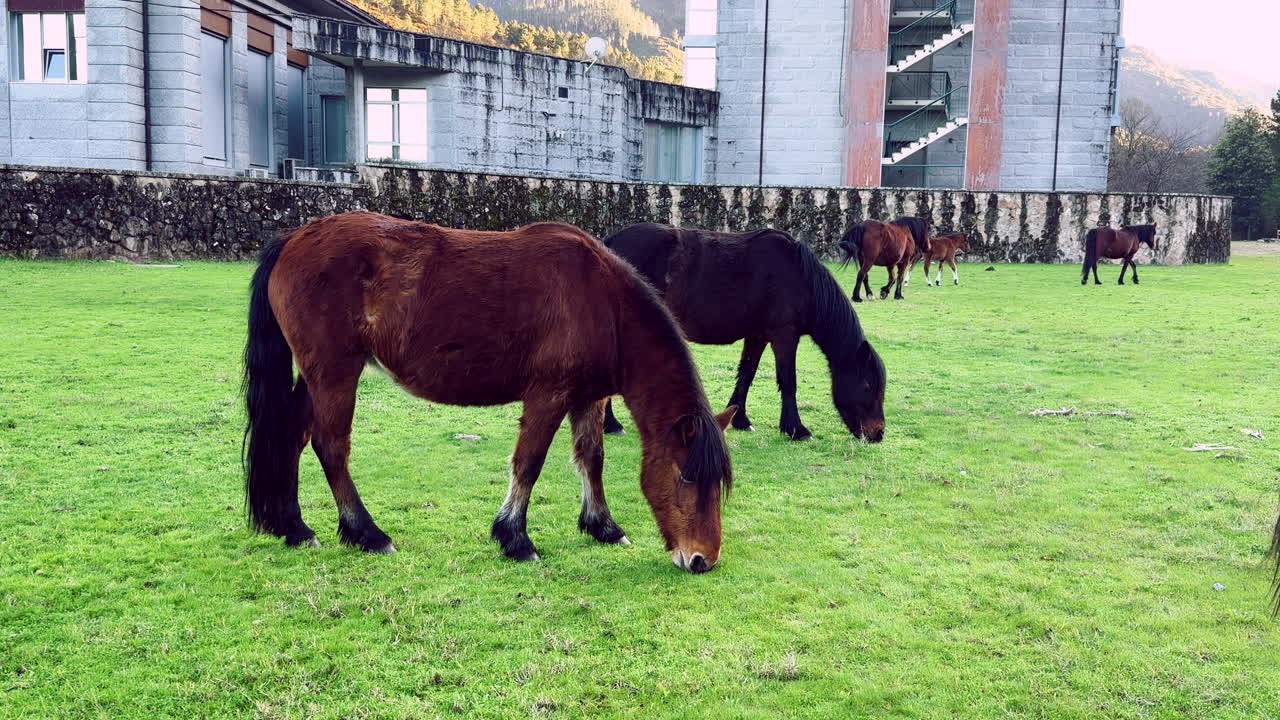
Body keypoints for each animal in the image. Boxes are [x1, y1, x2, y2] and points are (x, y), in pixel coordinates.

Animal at [243, 211, 736, 573]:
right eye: (685, 477)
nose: (702, 560)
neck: (602, 302)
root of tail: (294, 237)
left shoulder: (587, 398)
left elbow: (591, 458)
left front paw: (603, 526)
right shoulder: (548, 395)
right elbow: (529, 463)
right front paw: (515, 538)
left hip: (315, 376)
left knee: (292, 437)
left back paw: (294, 527)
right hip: (335, 373)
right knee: (331, 447)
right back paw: (367, 533)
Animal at [600, 223, 886, 442]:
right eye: (867, 385)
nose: (878, 434)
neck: (800, 277)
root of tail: (609, 243)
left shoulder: (757, 336)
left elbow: (747, 374)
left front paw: (740, 419)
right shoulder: (784, 335)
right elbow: (788, 380)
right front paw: (796, 429)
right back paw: (611, 424)